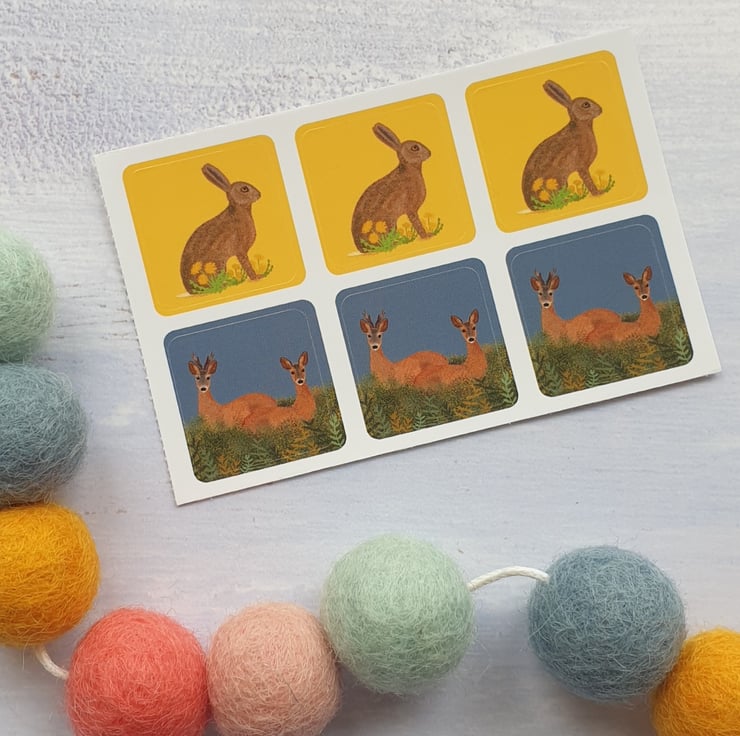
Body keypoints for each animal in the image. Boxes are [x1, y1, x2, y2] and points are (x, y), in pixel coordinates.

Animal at [180, 163, 263, 293]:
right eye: (244, 189)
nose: (259, 194)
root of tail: (190, 290)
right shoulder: (240, 250)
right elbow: (246, 264)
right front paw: (257, 277)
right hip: (217, 265)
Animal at [351, 123, 432, 252]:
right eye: (415, 147)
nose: (429, 153)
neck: (408, 169)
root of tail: (362, 248)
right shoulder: (411, 209)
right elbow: (416, 223)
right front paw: (427, 236)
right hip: (388, 223)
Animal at [521, 80, 605, 210]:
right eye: (586, 104)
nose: (600, 110)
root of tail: (532, 206)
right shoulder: (581, 166)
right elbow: (588, 180)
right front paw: (598, 193)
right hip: (558, 181)